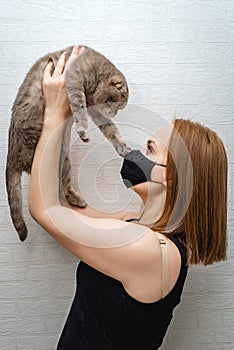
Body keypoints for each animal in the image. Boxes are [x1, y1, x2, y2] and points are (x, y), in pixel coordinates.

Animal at [5, 44, 130, 241]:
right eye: (117, 105)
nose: (116, 113)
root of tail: (12, 157)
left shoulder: (95, 109)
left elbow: (111, 130)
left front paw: (123, 147)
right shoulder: (75, 81)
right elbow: (79, 109)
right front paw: (83, 130)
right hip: (60, 161)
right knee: (62, 188)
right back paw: (79, 200)